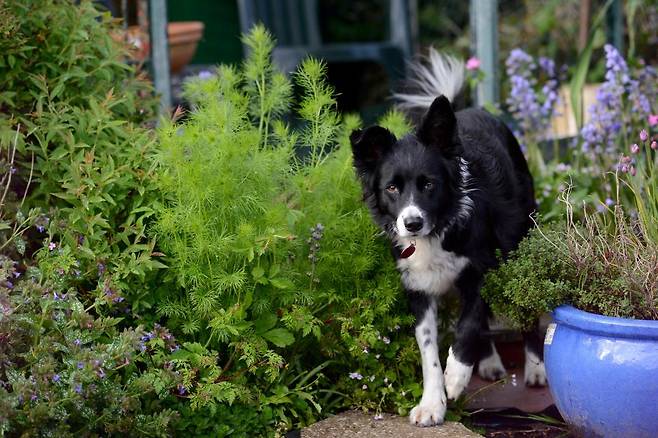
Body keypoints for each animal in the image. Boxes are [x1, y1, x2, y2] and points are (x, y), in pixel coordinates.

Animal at [348, 49, 544, 426]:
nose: (411, 223)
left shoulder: (483, 269)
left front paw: (455, 377)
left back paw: (536, 368)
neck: (438, 230)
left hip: (518, 243)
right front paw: (432, 402)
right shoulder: (417, 288)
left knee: (525, 314)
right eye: (391, 188)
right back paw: (489, 362)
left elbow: (468, 326)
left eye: (428, 185)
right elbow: (428, 351)